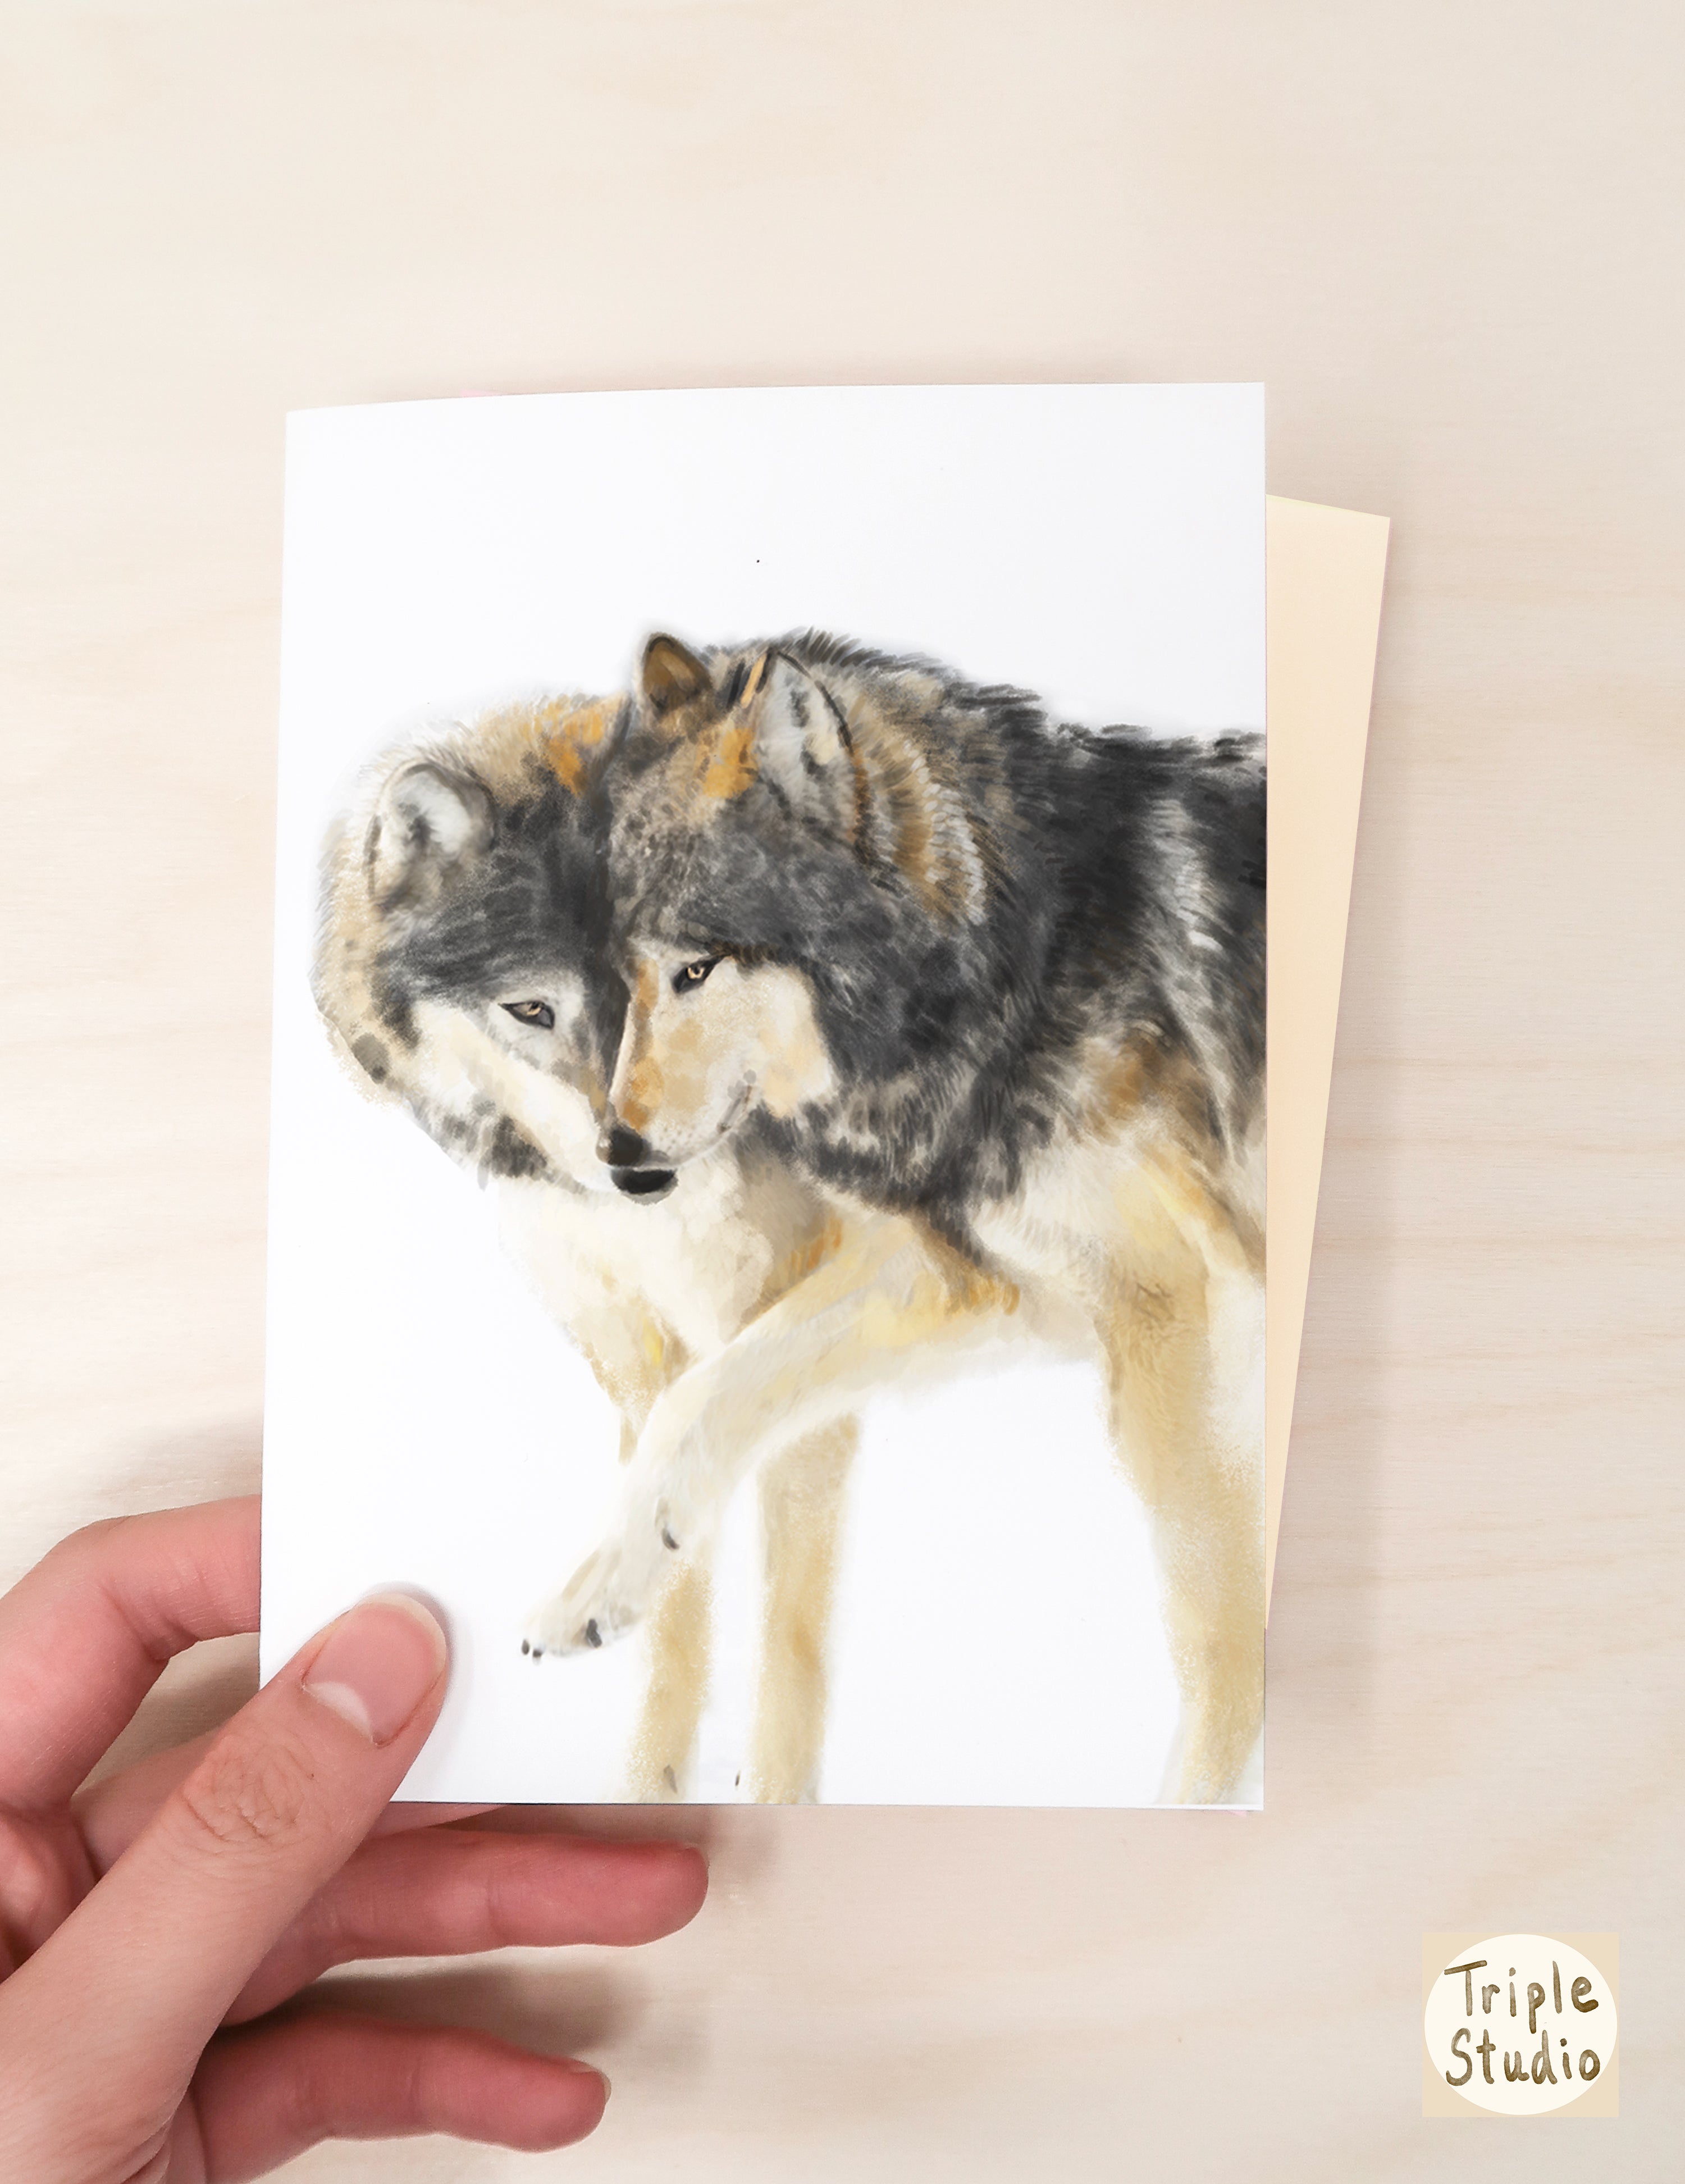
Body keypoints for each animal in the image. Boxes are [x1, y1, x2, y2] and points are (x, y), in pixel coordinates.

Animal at [312, 690, 866, 1802]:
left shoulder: (793, 1359)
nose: (640, 1171)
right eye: (533, 1007)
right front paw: (649, 1782)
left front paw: (779, 1794)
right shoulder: (642, 1360)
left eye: (694, 977)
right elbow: (671, 1588)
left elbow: (790, 1630)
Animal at [545, 632, 1266, 1806]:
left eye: (698, 966)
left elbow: (1219, 1627)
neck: (1013, 962)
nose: (618, 1156)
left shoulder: (1174, 1308)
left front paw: (1194, 1805)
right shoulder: (963, 1274)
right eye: (628, 976)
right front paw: (605, 1581)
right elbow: (704, 1392)